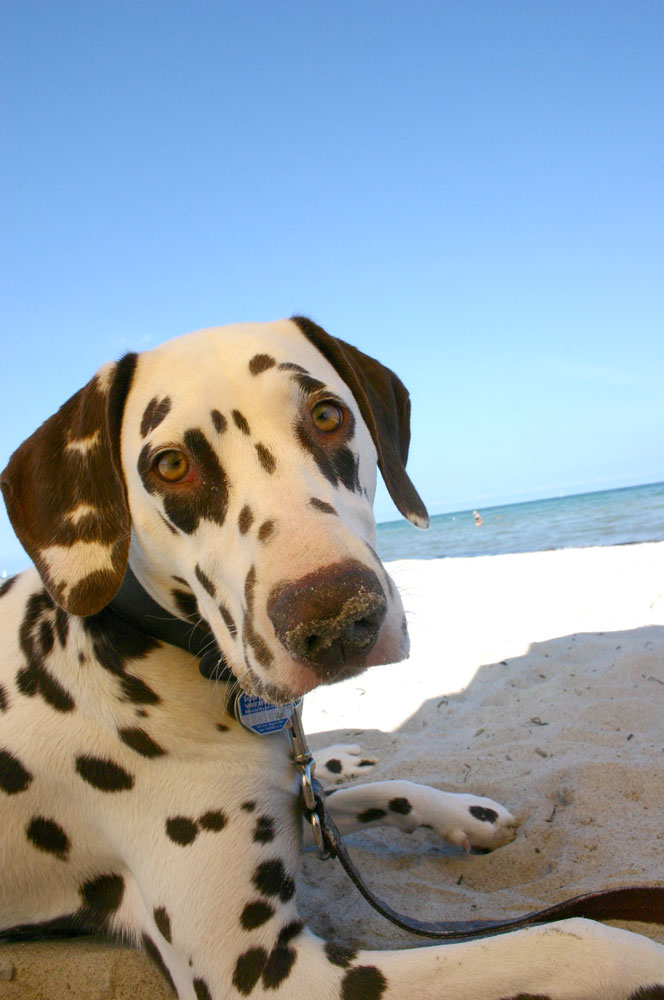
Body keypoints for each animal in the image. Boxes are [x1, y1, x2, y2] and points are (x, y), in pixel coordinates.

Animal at [1, 314, 664, 1000]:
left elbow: (364, 795)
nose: (337, 619)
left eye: (327, 415)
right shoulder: (262, 972)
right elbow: (566, 940)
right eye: (171, 464)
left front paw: (465, 812)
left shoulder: (300, 805)